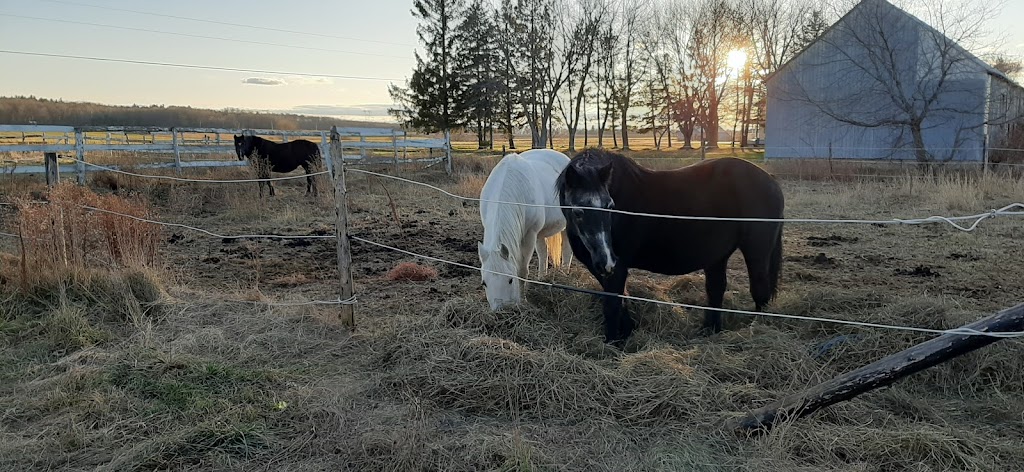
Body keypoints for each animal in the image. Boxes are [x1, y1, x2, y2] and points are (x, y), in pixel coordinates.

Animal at [475, 147, 573, 311]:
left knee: (566, 250)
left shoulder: (529, 235)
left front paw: (523, 300)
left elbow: (522, 270)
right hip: (540, 233)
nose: (501, 311)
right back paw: (542, 277)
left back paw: (564, 274)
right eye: (484, 283)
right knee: (543, 251)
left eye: (510, 280)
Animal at [552, 149, 782, 344]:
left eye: (610, 206)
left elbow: (612, 304)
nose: (606, 260)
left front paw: (612, 344)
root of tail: (771, 181)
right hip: (718, 256)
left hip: (756, 251)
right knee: (716, 290)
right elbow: (622, 299)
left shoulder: (618, 267)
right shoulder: (602, 268)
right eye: (578, 212)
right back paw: (709, 331)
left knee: (760, 290)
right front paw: (627, 332)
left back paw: (758, 331)